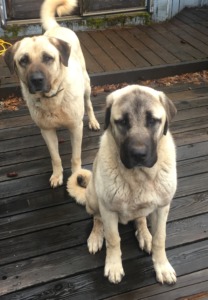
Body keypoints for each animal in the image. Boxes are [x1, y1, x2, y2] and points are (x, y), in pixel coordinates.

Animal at [3, 0, 99, 188]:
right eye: (23, 60)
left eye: (48, 58)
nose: (37, 80)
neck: (53, 99)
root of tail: (57, 28)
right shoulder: (46, 131)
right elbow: (55, 157)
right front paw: (57, 175)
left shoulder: (76, 128)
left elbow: (75, 157)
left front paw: (75, 176)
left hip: (86, 86)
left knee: (89, 105)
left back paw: (93, 121)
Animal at [68, 84, 177, 284]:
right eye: (122, 122)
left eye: (153, 120)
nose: (138, 154)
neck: (139, 176)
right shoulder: (108, 210)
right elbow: (113, 239)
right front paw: (113, 266)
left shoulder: (162, 208)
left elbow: (160, 239)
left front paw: (162, 266)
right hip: (93, 198)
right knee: (97, 219)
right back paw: (96, 236)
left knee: (140, 219)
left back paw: (144, 235)